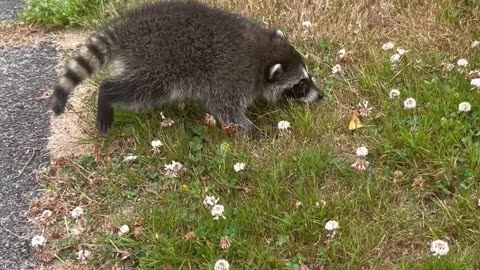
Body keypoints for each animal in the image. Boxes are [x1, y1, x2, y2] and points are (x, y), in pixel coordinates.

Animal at [50, 0, 324, 135]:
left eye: (307, 78)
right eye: (300, 85)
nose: (320, 95)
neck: (262, 55)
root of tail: (128, 27)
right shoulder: (231, 79)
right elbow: (227, 112)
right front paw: (257, 132)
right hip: (157, 65)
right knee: (140, 89)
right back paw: (107, 94)